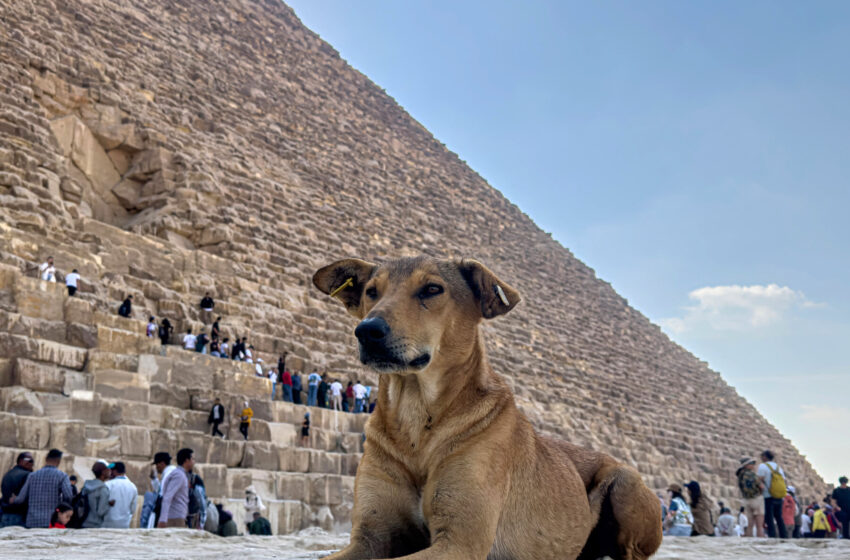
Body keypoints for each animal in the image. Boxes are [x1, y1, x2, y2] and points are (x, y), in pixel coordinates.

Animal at [314, 258, 664, 560]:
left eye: (432, 289)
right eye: (372, 291)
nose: (367, 331)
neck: (416, 418)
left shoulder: (459, 544)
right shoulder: (371, 537)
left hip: (625, 480)